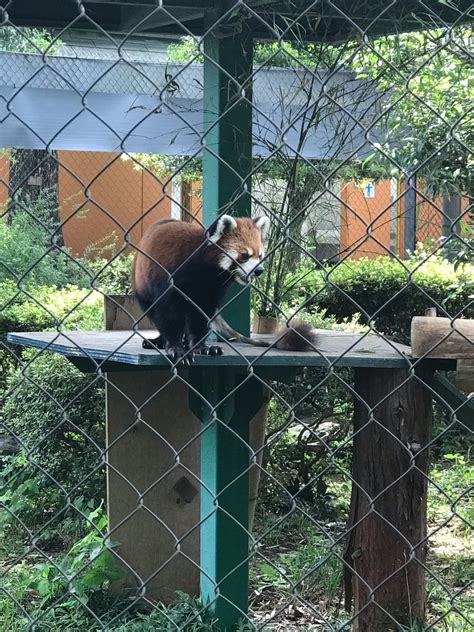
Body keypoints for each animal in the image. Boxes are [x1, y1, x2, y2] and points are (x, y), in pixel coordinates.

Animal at [132, 216, 318, 366]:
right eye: (245, 256)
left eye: (260, 255)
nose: (259, 270)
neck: (206, 272)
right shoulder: (170, 279)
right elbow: (167, 314)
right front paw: (176, 348)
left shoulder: (211, 290)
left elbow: (201, 316)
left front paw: (201, 347)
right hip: (141, 285)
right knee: (152, 310)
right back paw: (159, 341)